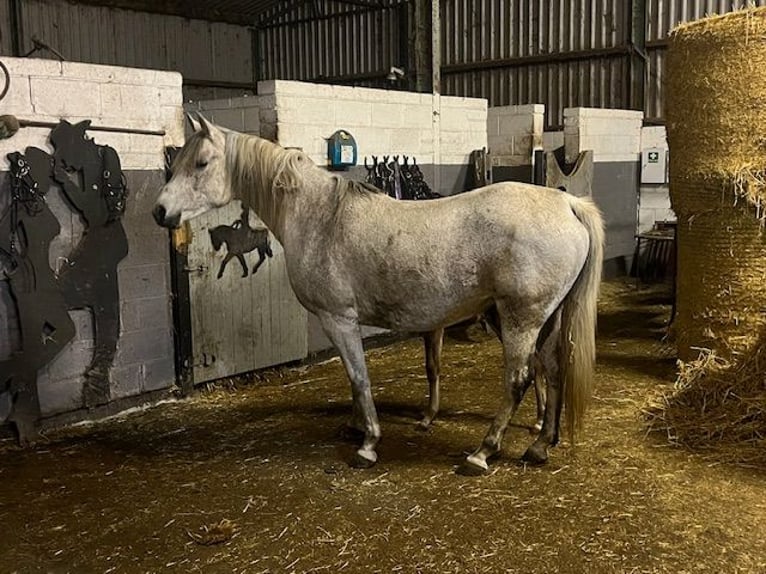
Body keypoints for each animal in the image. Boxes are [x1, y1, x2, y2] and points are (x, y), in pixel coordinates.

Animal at [153, 117, 604, 476]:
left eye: (201, 162)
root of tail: (567, 202)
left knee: (519, 380)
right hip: (545, 320)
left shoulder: (338, 319)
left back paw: (482, 453)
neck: (321, 217)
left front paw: (368, 444)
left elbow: (359, 377)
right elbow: (353, 378)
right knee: (553, 371)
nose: (160, 212)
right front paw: (355, 427)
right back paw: (540, 445)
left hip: (519, 320)